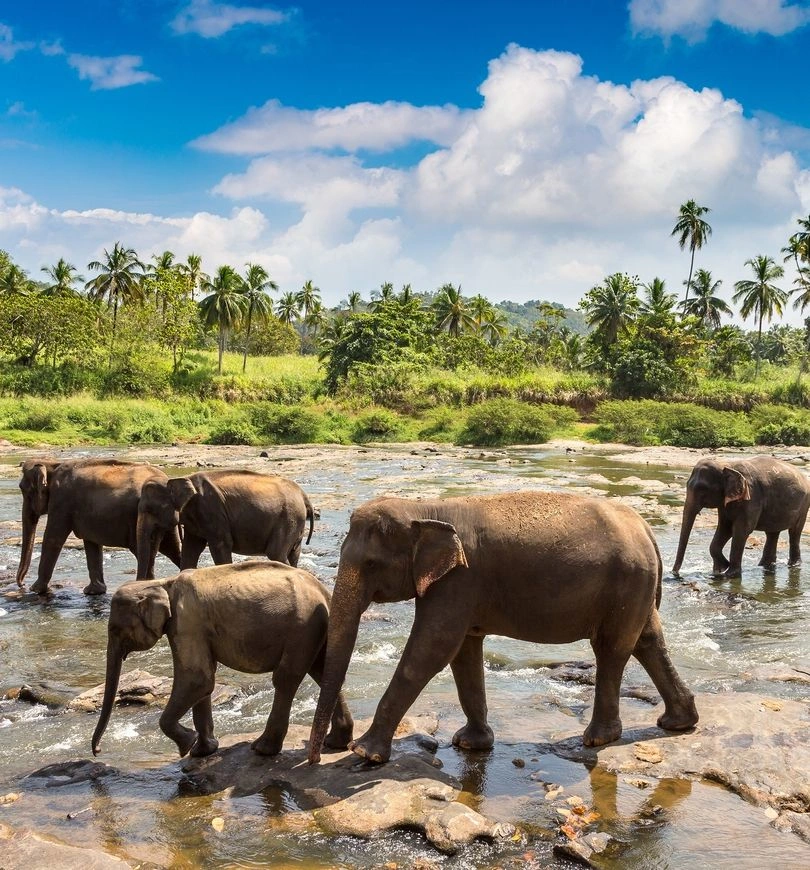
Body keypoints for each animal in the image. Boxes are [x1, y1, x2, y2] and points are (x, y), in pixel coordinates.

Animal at [17, 458, 182, 596]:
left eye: (23, 489)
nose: (21, 584)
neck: (52, 464)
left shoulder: (61, 501)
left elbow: (53, 538)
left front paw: (35, 590)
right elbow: (92, 543)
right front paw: (93, 591)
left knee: (146, 550)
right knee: (172, 548)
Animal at [91, 560, 353, 759]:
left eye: (114, 629)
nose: (98, 751)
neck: (161, 583)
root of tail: (324, 591)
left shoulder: (187, 623)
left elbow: (197, 679)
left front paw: (188, 745)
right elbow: (204, 681)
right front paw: (202, 751)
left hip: (302, 626)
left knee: (286, 679)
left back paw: (262, 749)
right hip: (316, 628)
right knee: (323, 672)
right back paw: (335, 742)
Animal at [135, 470, 315, 576]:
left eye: (150, 509)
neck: (182, 478)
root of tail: (303, 494)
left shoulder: (211, 509)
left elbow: (221, 545)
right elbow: (191, 549)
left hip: (288, 517)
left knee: (276, 553)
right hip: (295, 523)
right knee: (293, 554)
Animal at [308, 491, 698, 765]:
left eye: (372, 564)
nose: (319, 754)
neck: (426, 508)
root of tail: (645, 529)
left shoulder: (459, 581)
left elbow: (433, 648)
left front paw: (364, 753)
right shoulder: (459, 588)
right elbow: (463, 652)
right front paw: (470, 743)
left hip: (626, 581)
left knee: (612, 648)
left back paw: (598, 739)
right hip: (636, 585)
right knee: (648, 641)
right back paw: (677, 722)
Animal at [672, 455, 810, 578]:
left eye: (702, 489)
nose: (675, 573)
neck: (726, 464)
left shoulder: (752, 497)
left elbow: (742, 530)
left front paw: (729, 574)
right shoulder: (725, 503)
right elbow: (725, 528)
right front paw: (719, 570)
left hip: (804, 504)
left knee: (794, 532)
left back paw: (794, 565)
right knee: (772, 533)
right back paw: (764, 565)